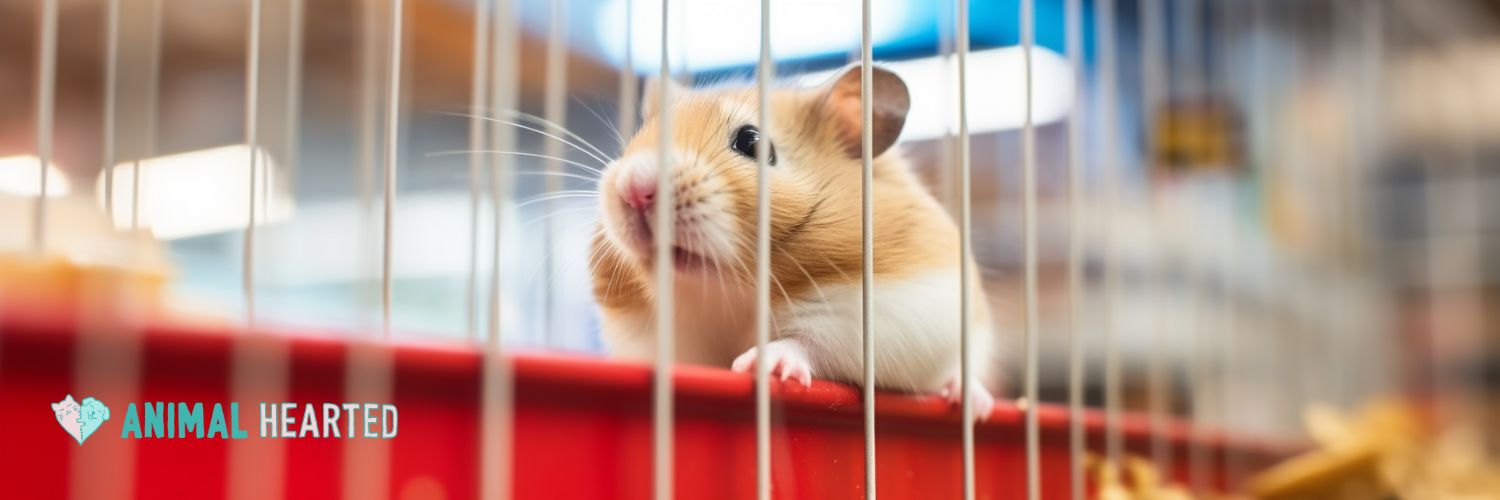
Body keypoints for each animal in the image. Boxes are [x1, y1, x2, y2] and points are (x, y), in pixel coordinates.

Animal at [590, 64, 999, 417]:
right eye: (636, 139)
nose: (634, 190)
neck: (722, 295)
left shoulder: (884, 315)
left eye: (751, 142)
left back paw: (972, 401)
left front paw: (758, 364)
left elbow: (807, 341)